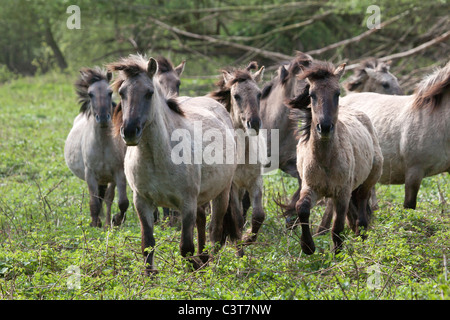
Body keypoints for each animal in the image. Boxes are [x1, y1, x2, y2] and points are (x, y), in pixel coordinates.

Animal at [64, 67, 129, 228]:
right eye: (90, 94)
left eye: (110, 92)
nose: (104, 118)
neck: (103, 145)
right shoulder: (90, 175)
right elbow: (94, 202)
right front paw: (95, 224)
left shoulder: (118, 173)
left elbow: (121, 202)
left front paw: (114, 221)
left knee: (107, 198)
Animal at [107, 55, 241, 272]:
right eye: (122, 93)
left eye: (149, 93)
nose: (129, 131)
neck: (157, 158)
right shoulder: (142, 202)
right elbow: (147, 245)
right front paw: (150, 277)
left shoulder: (186, 203)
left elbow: (186, 248)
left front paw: (194, 269)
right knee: (202, 223)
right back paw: (204, 259)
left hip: (222, 193)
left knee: (215, 232)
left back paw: (210, 266)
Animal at [209, 61, 266, 244]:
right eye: (236, 96)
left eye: (259, 94)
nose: (254, 123)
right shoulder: (232, 185)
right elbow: (237, 219)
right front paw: (241, 240)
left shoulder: (255, 180)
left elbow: (258, 215)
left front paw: (248, 238)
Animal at [288, 61, 384, 254]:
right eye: (312, 94)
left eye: (337, 93)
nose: (324, 127)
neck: (325, 159)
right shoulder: (311, 187)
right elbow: (302, 208)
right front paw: (307, 246)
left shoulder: (342, 194)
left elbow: (337, 228)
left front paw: (338, 254)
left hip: (367, 182)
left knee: (362, 208)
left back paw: (362, 237)